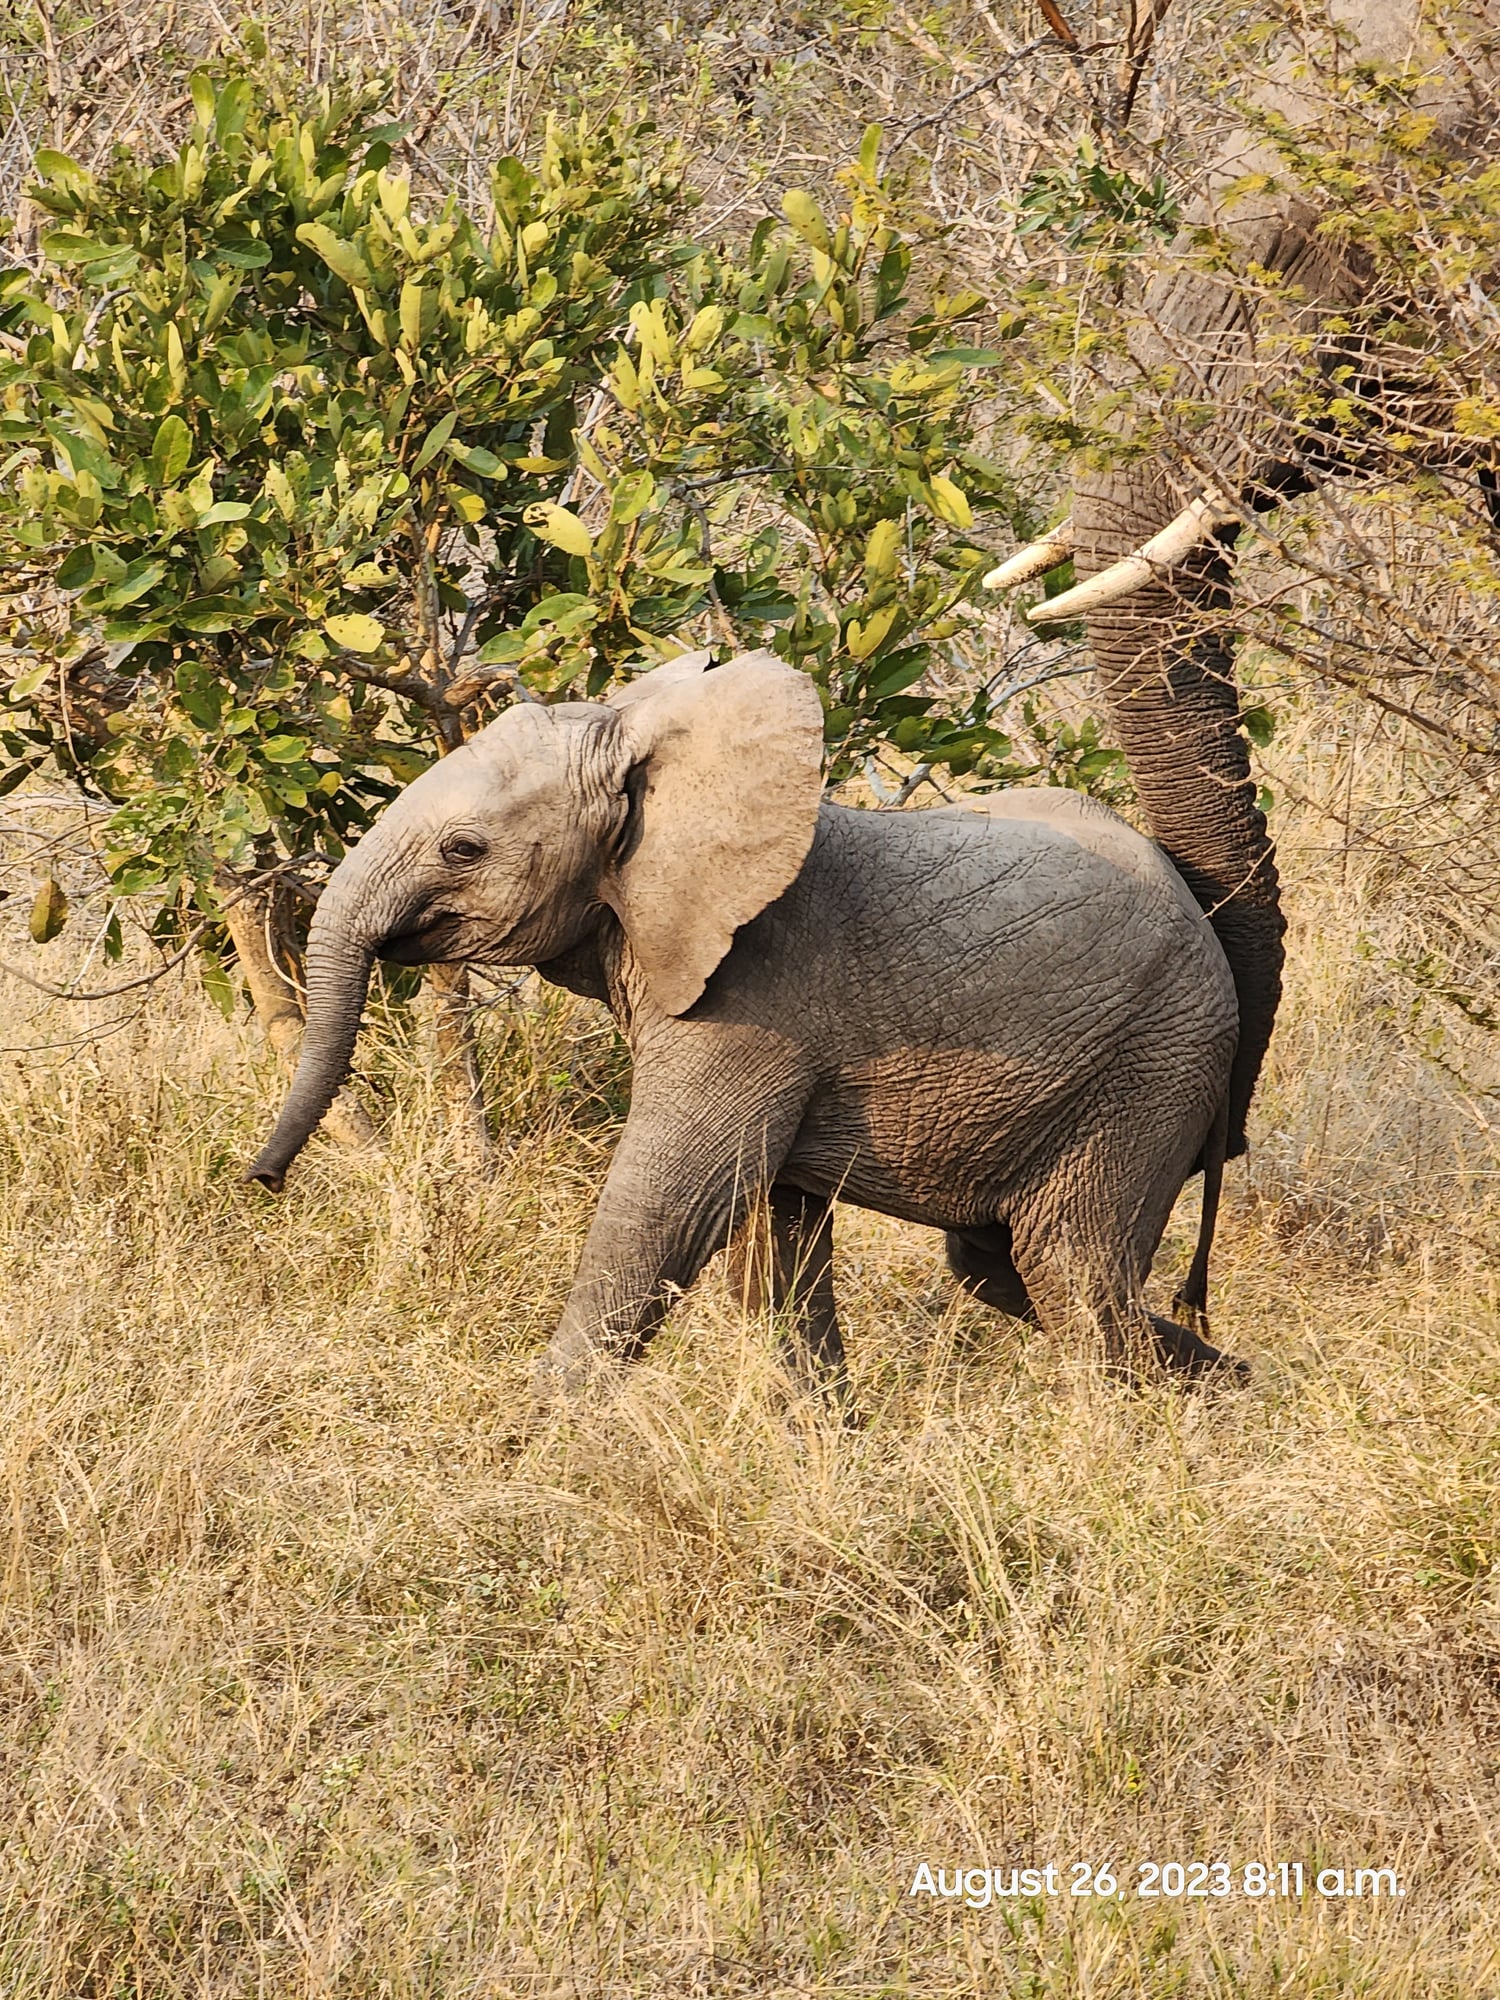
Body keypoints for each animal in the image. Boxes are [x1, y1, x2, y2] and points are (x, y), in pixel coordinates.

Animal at [246, 649, 1244, 1397]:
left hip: (1150, 1070)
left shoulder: (755, 999)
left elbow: (668, 1203)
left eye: (464, 848)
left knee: (1069, 1267)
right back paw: (1232, 1381)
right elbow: (775, 1239)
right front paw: (828, 1449)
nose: (262, 1179)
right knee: (1003, 1267)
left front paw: (532, 1445)